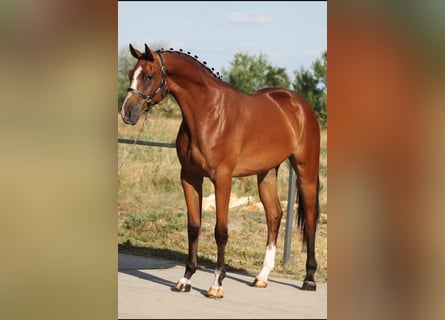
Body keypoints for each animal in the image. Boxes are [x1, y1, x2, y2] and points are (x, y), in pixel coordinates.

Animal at [118, 43, 320, 298]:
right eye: (130, 74)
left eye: (148, 76)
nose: (127, 113)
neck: (209, 114)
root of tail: (299, 104)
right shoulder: (189, 177)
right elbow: (194, 227)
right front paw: (186, 279)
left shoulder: (223, 179)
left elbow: (220, 231)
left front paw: (216, 284)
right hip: (266, 173)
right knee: (274, 215)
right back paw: (262, 277)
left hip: (306, 170)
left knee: (310, 220)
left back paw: (309, 279)